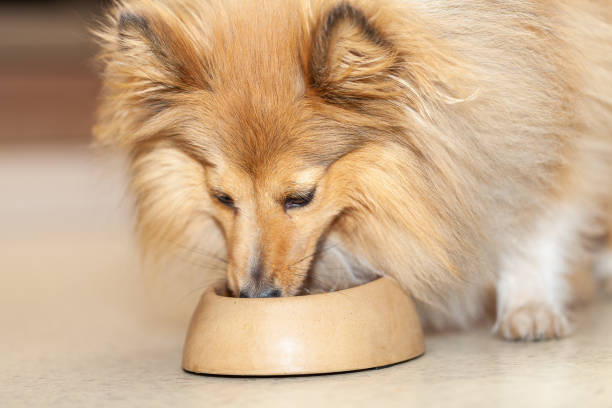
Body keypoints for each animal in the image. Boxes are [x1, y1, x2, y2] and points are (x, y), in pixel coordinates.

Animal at [92, 0, 612, 342]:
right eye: (222, 198)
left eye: (301, 197)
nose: (255, 297)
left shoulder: (555, 100)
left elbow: (535, 220)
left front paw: (529, 308)